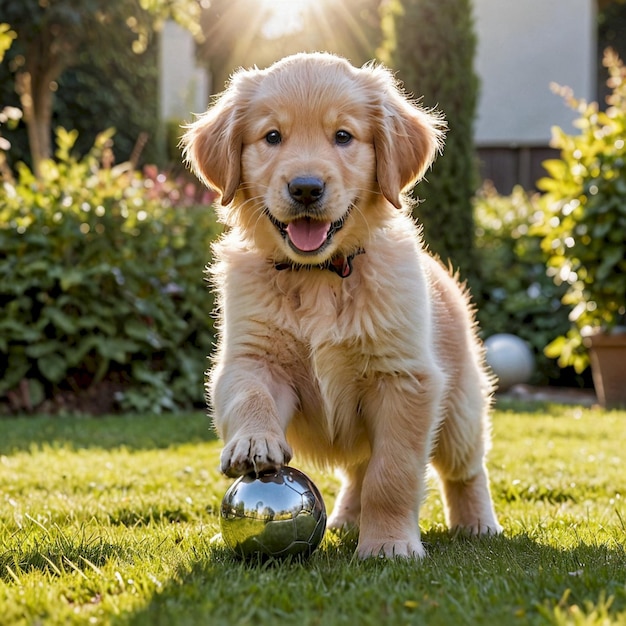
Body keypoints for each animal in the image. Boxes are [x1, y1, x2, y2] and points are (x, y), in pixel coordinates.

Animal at [182, 50, 502, 556]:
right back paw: (347, 519)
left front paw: (389, 545)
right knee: (359, 469)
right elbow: (250, 394)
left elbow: (392, 474)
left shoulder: (405, 379)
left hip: (460, 410)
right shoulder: (251, 357)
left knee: (464, 468)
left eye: (344, 136)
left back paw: (477, 522)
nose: (305, 188)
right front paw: (253, 443)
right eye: (272, 136)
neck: (319, 276)